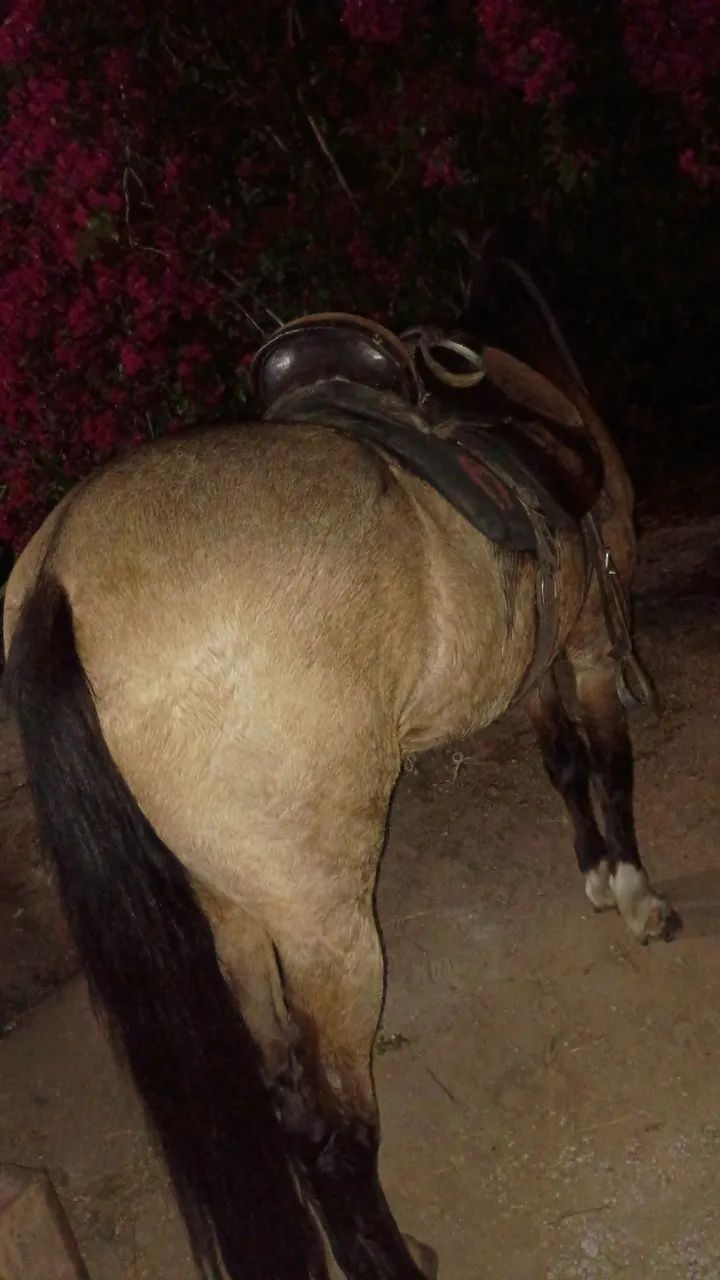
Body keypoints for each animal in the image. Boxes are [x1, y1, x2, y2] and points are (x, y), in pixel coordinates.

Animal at [2, 257, 681, 1280]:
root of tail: (60, 570)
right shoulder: (593, 640)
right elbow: (609, 760)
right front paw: (637, 894)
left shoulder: (535, 666)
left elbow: (564, 760)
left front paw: (599, 874)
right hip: (329, 930)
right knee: (337, 1138)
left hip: (231, 915)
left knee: (286, 1100)